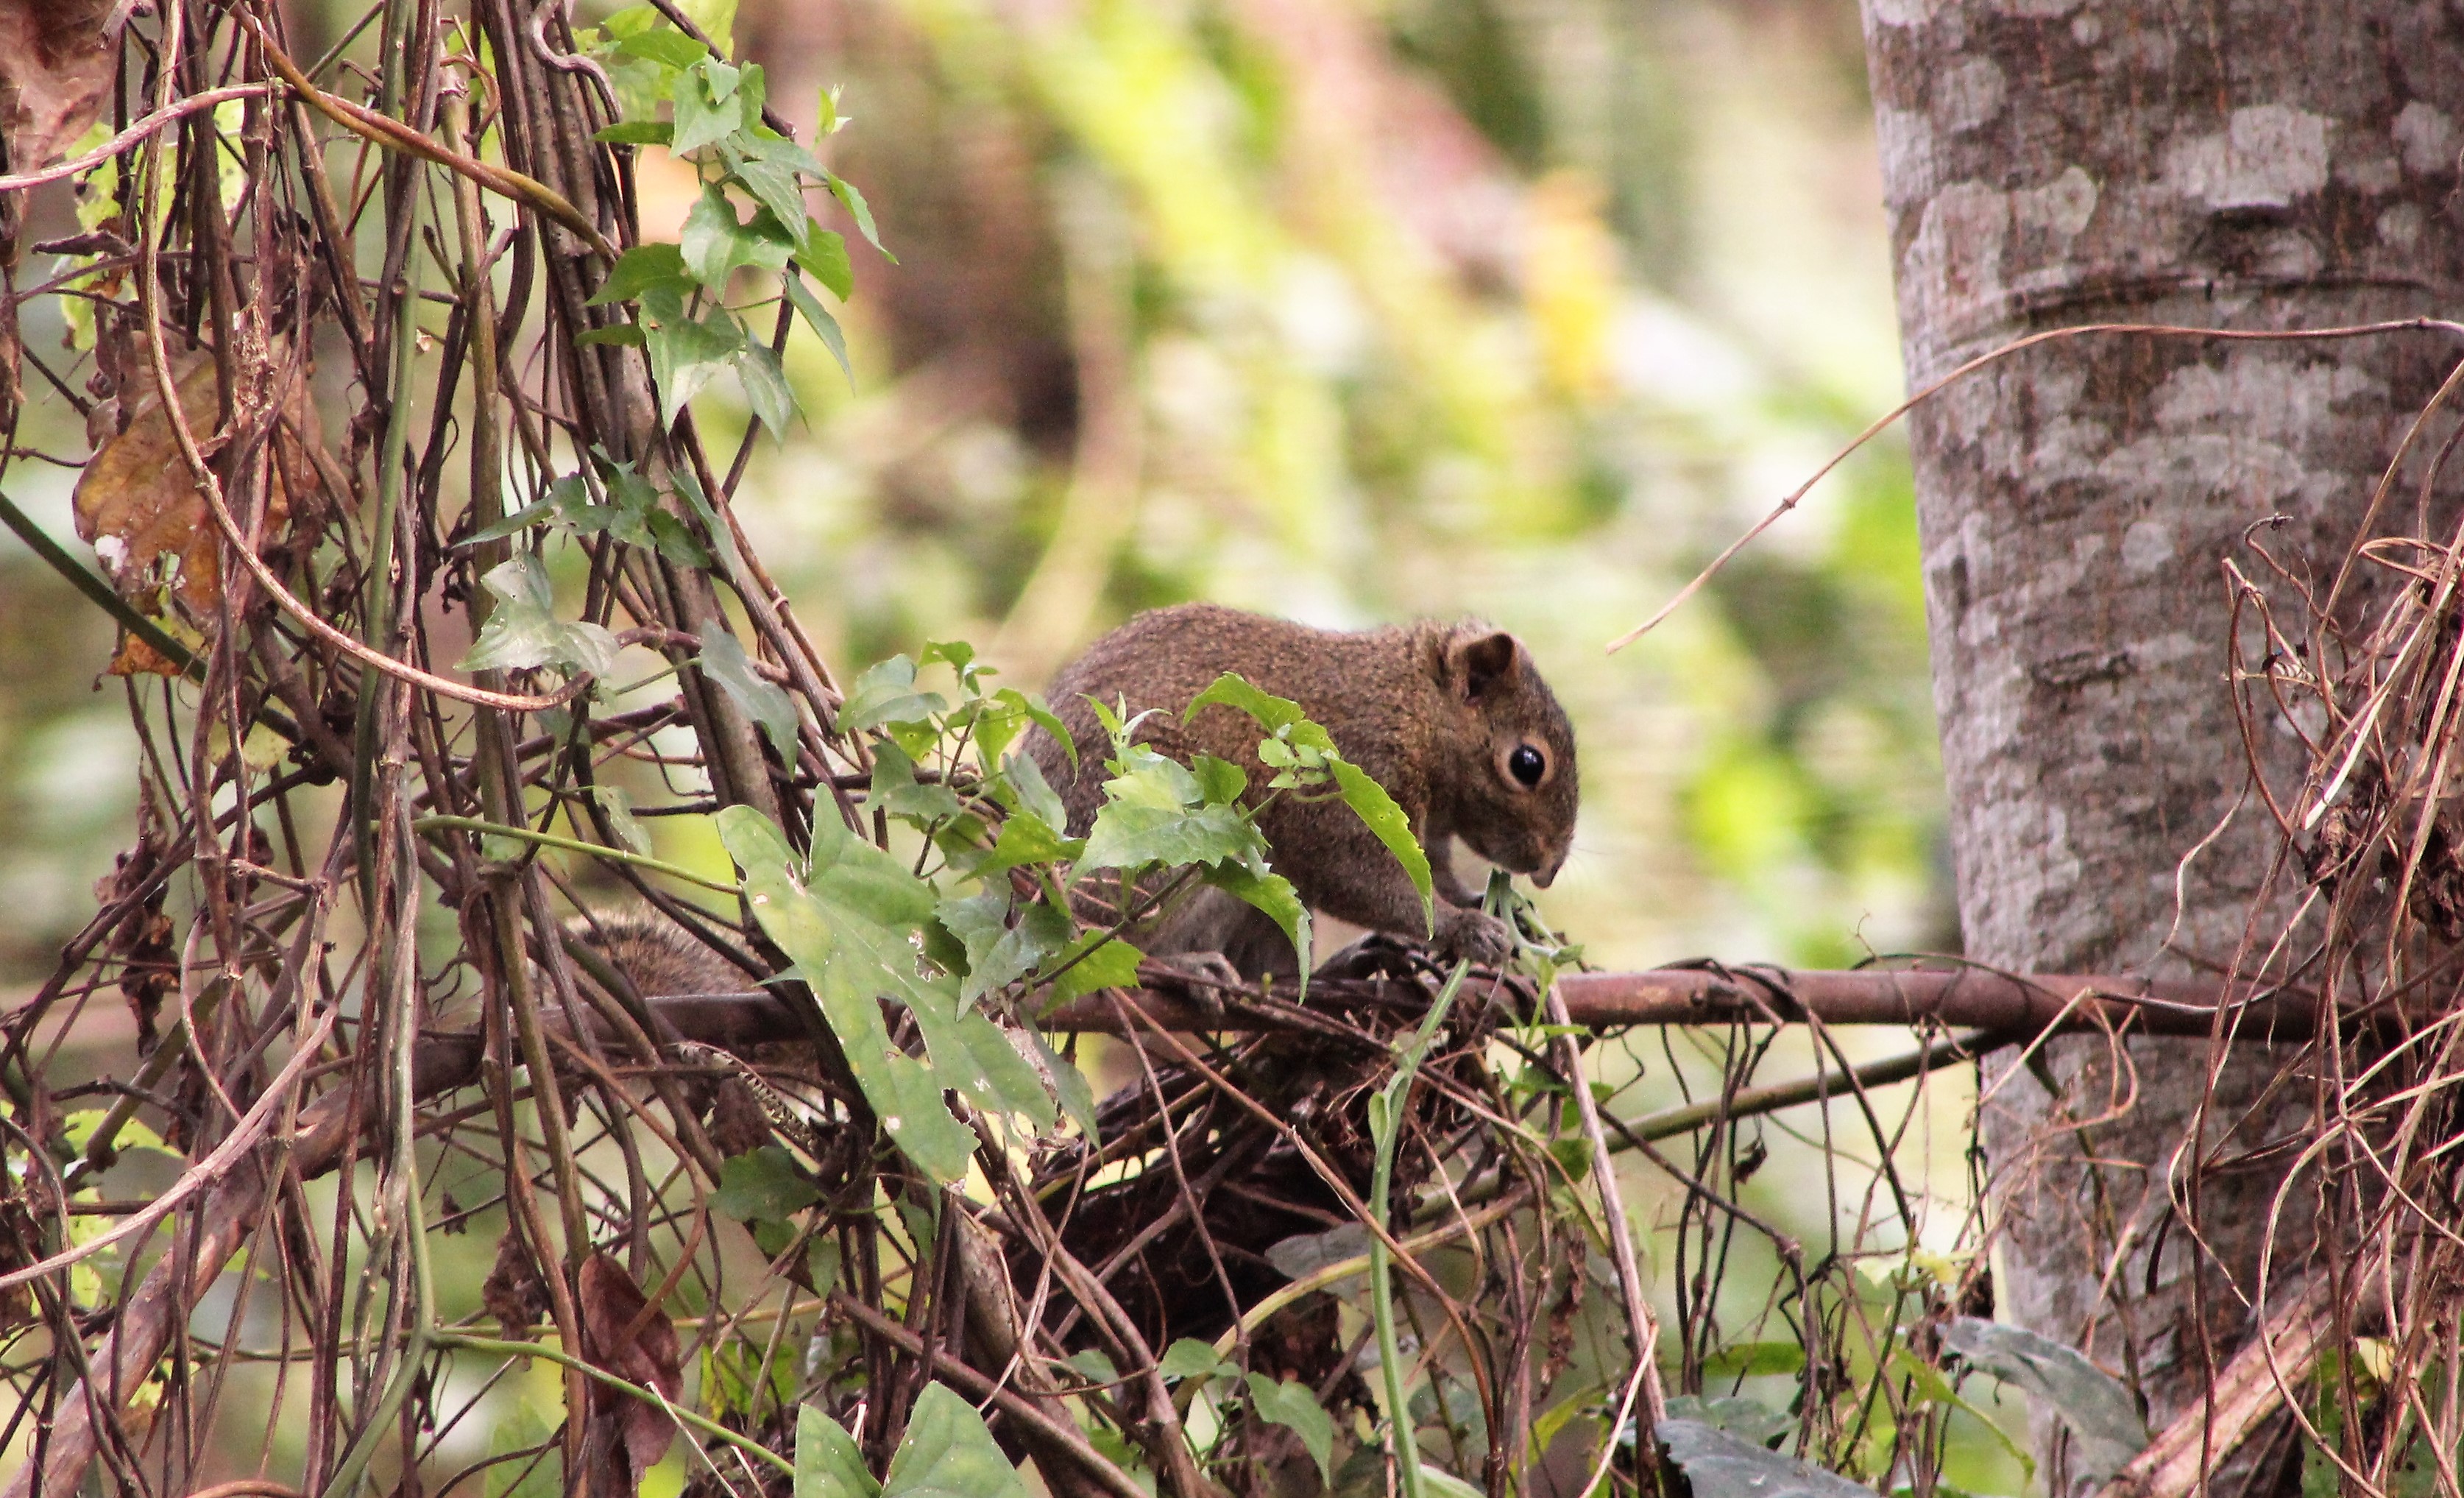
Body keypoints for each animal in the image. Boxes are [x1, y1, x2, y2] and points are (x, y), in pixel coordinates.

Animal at [1026, 602, 1579, 981]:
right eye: (1527, 764)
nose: (1550, 870)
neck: (1410, 705)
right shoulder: (1354, 778)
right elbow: (1357, 876)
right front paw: (1468, 929)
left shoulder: (1419, 833)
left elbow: (1434, 877)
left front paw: (1496, 908)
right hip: (1166, 850)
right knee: (1114, 941)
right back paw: (1188, 966)